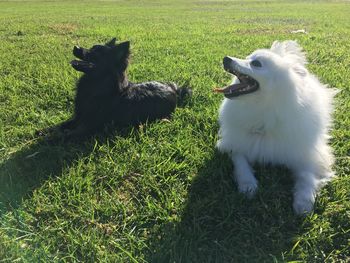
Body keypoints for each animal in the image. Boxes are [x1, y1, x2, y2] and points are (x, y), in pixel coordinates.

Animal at [47, 38, 190, 139]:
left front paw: (53, 137)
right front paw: (48, 130)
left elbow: (66, 134)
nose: (75, 47)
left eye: (96, 53)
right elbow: (59, 126)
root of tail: (174, 90)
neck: (96, 84)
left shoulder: (88, 126)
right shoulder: (78, 117)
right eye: (92, 47)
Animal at [216, 40, 336, 214]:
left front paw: (304, 202)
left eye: (256, 64)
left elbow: (307, 176)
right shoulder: (236, 144)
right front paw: (248, 185)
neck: (263, 110)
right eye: (247, 57)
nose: (226, 59)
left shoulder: (308, 155)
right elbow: (241, 164)